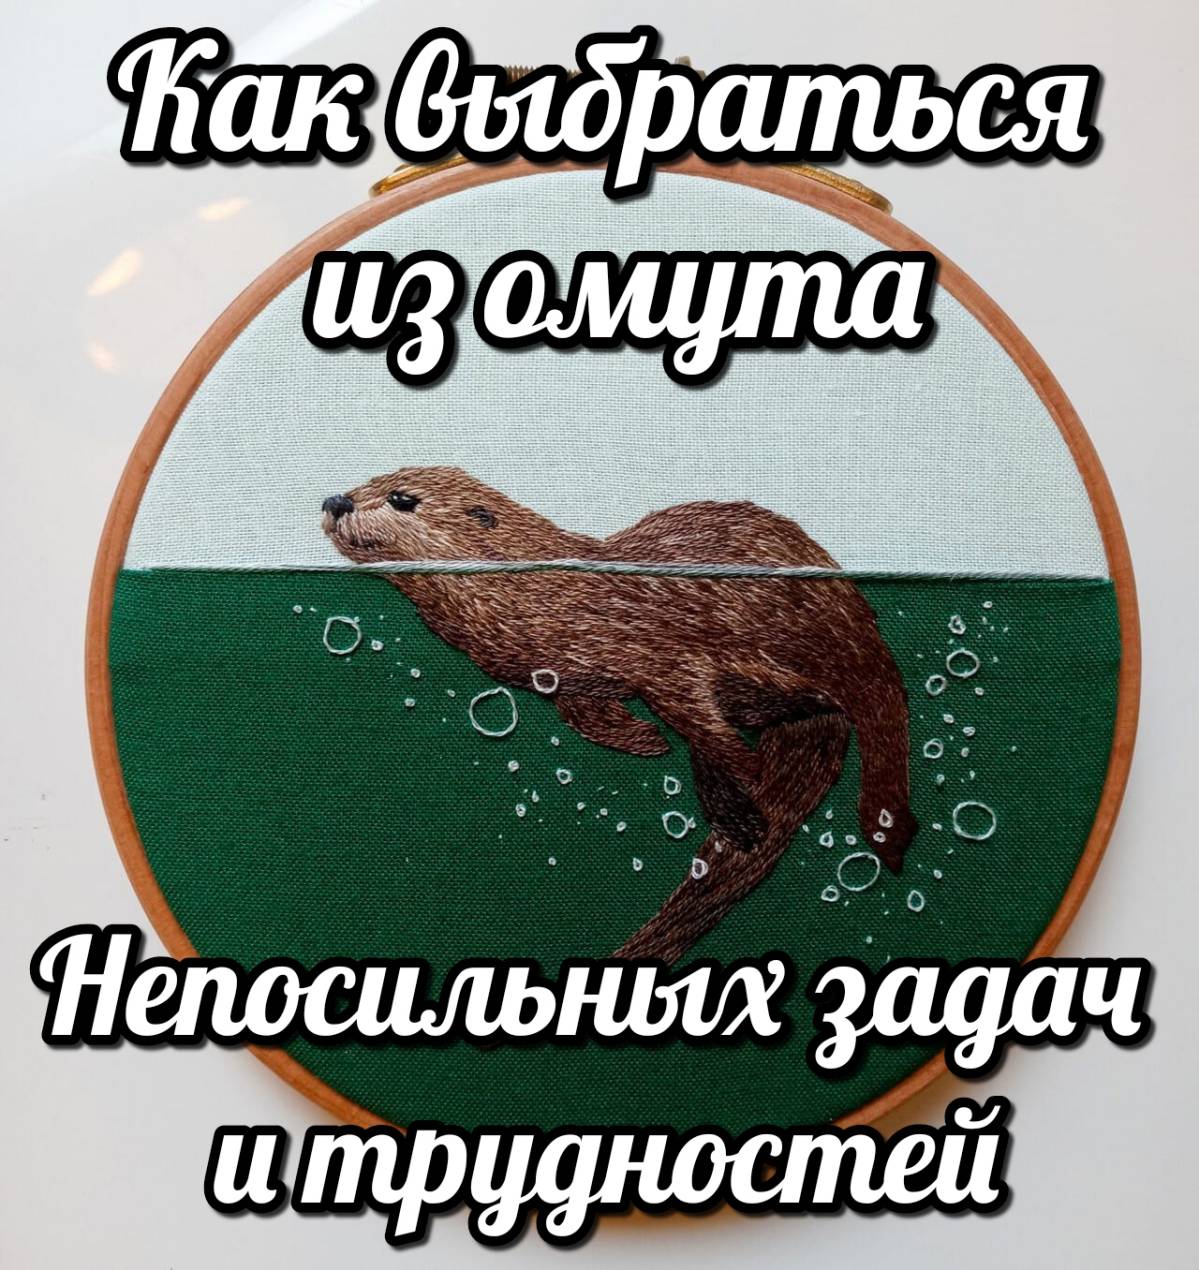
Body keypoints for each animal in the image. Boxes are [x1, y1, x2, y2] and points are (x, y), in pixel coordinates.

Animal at [322, 466, 916, 964]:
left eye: (402, 499)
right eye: (364, 481)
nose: (335, 499)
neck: (548, 596)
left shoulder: (664, 653)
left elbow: (702, 714)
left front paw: (740, 773)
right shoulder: (568, 678)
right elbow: (596, 716)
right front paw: (644, 739)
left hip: (846, 647)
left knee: (880, 713)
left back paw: (877, 827)